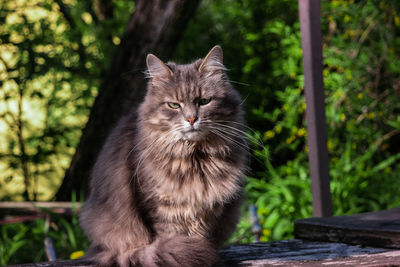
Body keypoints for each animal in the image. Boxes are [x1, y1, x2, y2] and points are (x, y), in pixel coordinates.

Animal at [80, 46, 247, 267]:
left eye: (204, 102)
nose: (191, 119)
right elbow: (173, 239)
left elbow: (200, 237)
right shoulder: (159, 205)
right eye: (174, 105)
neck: (194, 158)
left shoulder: (209, 206)